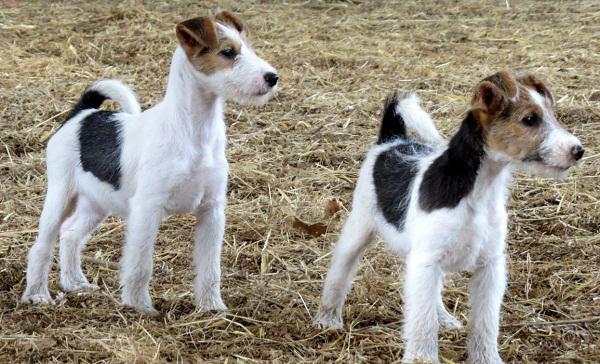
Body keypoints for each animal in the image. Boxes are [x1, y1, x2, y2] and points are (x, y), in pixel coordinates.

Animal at [21, 9, 278, 314]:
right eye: (228, 52)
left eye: (249, 48)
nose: (272, 77)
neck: (194, 131)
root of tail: (83, 114)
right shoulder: (147, 209)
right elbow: (140, 266)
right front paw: (139, 307)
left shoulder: (212, 210)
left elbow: (210, 268)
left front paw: (212, 307)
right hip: (60, 196)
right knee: (41, 246)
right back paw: (37, 294)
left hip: (96, 203)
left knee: (71, 234)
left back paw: (75, 283)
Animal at [316, 72, 584, 364]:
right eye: (529, 119)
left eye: (553, 115)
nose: (578, 150)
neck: (478, 191)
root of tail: (392, 141)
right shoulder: (426, 261)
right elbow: (422, 324)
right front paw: (421, 358)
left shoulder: (489, 265)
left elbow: (485, 324)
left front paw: (486, 358)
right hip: (359, 228)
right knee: (340, 272)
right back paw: (327, 318)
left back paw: (443, 318)